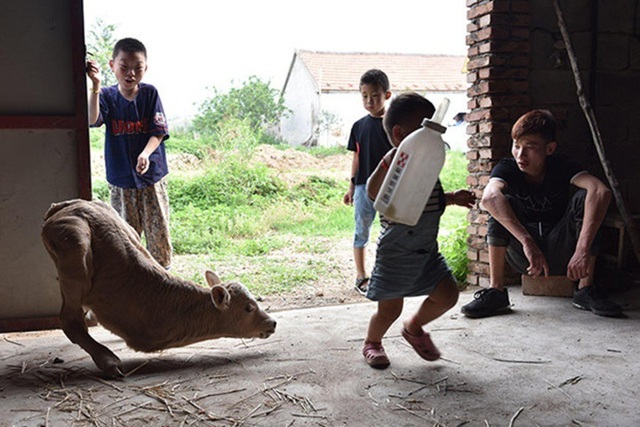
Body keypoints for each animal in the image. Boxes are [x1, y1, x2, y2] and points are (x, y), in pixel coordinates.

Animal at [41, 200, 276, 378]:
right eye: (248, 308)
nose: (272, 322)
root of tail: (67, 205)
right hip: (75, 250)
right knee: (70, 320)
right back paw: (109, 361)